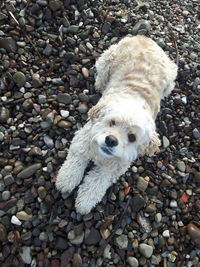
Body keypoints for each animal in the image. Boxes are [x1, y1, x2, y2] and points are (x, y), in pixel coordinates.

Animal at [55, 35, 177, 216]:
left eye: (132, 137)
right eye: (112, 122)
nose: (111, 140)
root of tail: (145, 38)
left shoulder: (114, 167)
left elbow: (96, 182)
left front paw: (85, 202)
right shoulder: (83, 140)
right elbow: (74, 163)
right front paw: (66, 180)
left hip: (170, 80)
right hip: (107, 59)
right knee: (101, 73)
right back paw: (100, 84)